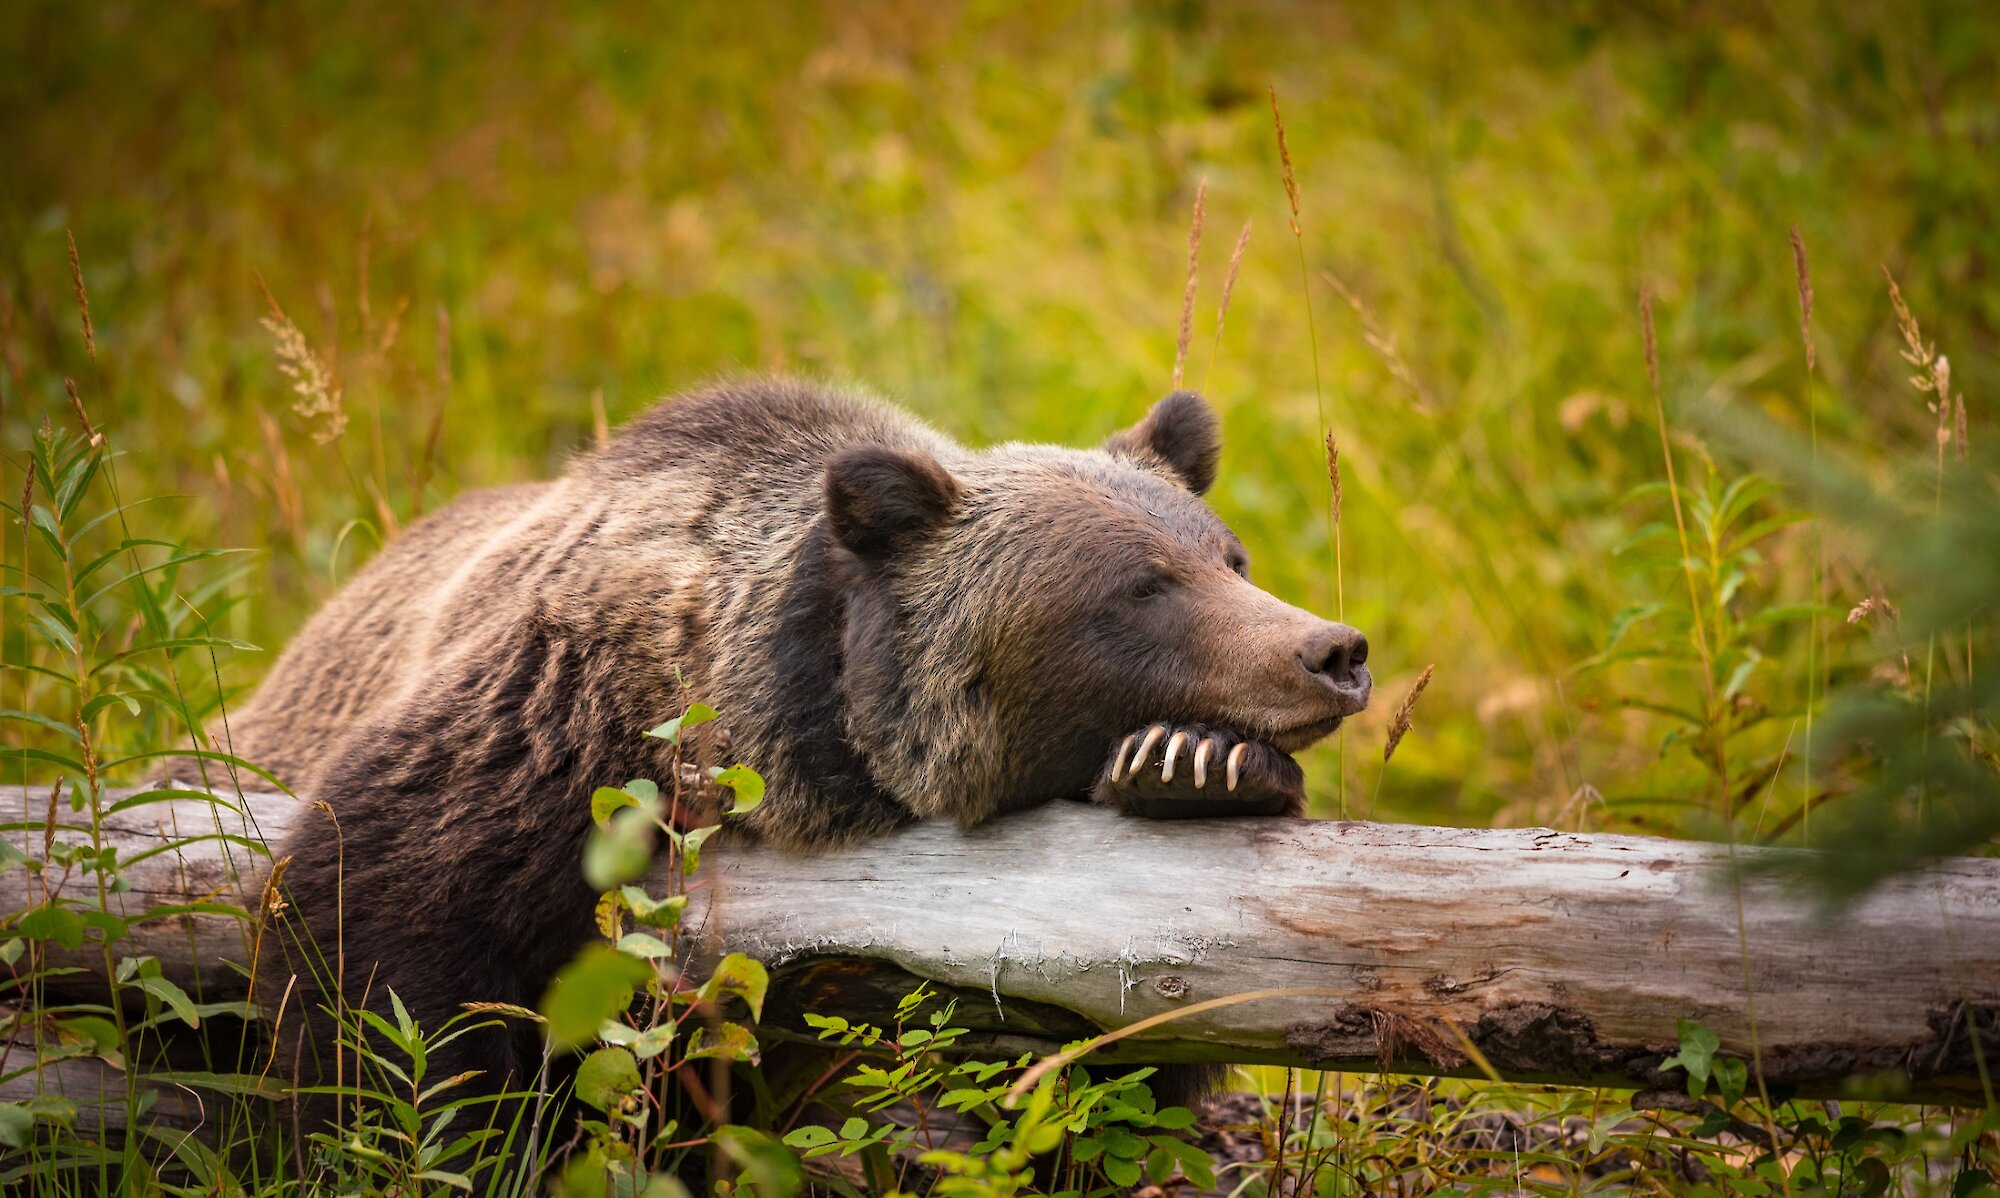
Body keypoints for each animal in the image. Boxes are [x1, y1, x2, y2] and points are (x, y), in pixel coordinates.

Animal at [219, 384, 1376, 1104]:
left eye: (1228, 556)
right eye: (1140, 587)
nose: (1331, 650)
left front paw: (1197, 766)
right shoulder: (555, 728)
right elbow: (380, 931)